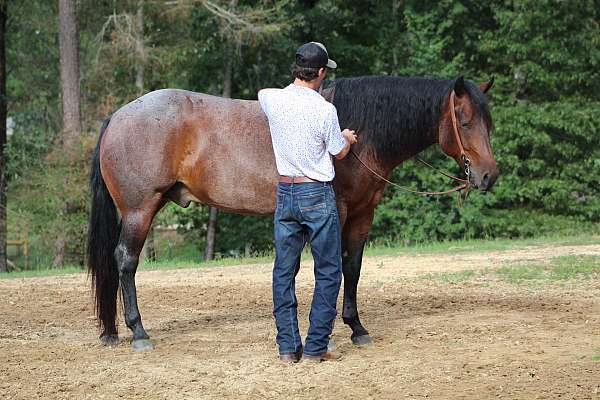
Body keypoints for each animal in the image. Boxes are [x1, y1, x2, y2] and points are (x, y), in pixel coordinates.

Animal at [88, 75, 496, 350]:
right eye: (463, 121)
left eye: (487, 122)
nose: (489, 175)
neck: (356, 134)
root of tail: (118, 116)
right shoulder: (336, 213)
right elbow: (329, 267)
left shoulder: (363, 216)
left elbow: (352, 268)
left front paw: (357, 328)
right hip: (139, 210)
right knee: (125, 261)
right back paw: (138, 333)